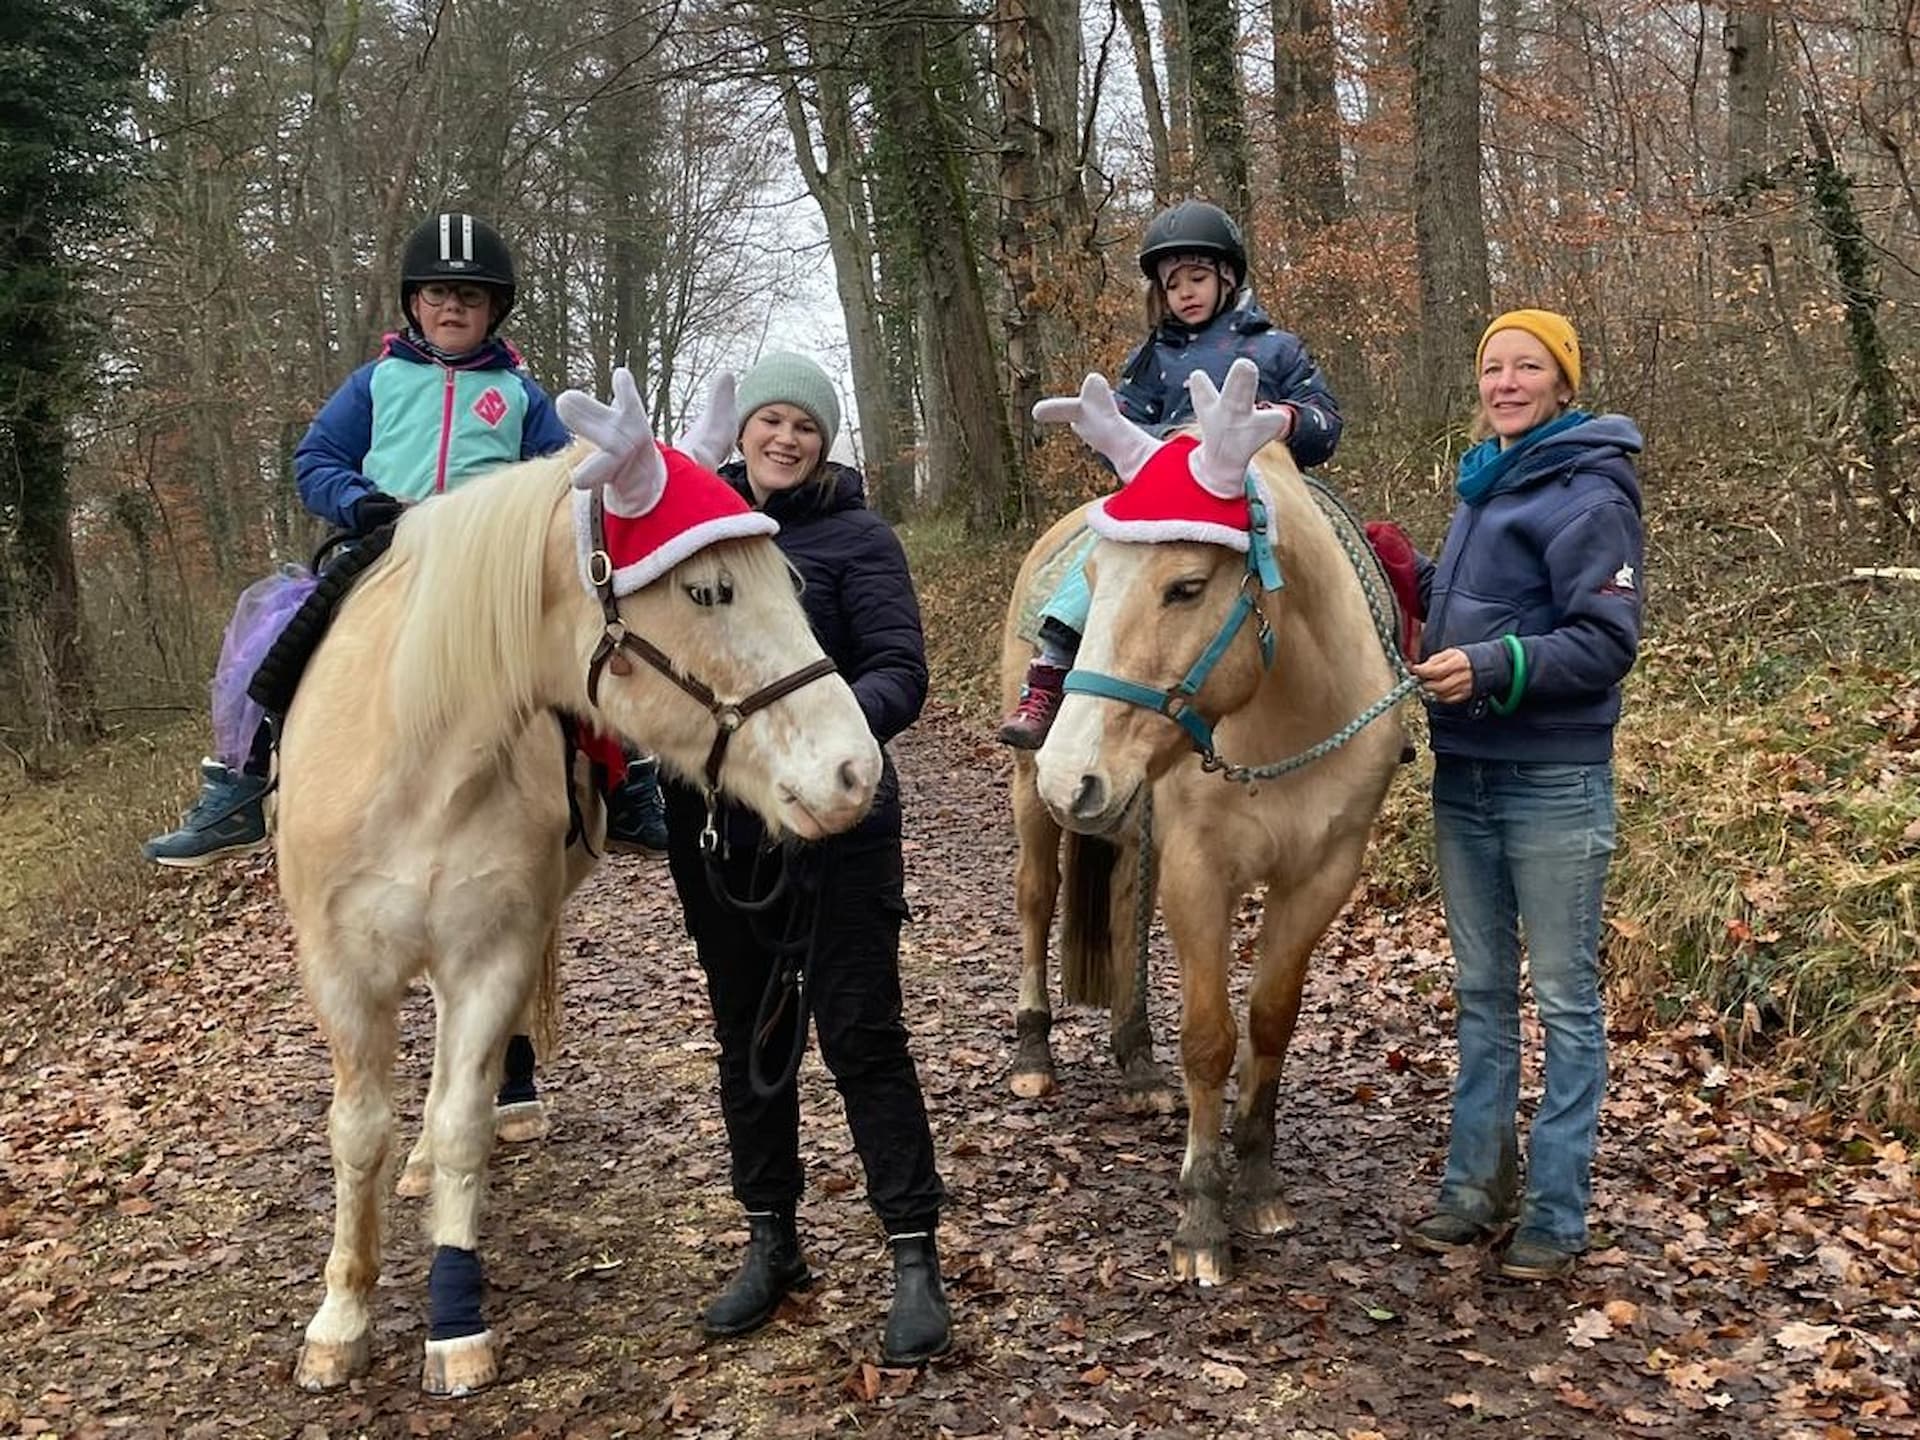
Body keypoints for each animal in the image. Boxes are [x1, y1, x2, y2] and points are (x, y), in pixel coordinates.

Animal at [277, 369, 882, 1394]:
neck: (416, 757)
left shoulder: (492, 951)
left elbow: (461, 1117)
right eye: (710, 589)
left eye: (792, 582)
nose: (855, 772)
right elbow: (357, 1132)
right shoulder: (341, 974)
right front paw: (341, 1316)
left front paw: (454, 1319)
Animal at [1019, 361, 1409, 1284]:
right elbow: (1208, 1038)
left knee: (1123, 911)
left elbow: (1269, 1022)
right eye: (1097, 583)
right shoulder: (1201, 871)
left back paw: (1135, 1063)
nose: (1071, 772)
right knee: (1037, 900)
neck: (1287, 716)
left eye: (1187, 587)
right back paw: (1032, 1053)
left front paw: (1259, 1180)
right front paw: (1200, 1213)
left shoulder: (1321, 875)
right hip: (1033, 797)